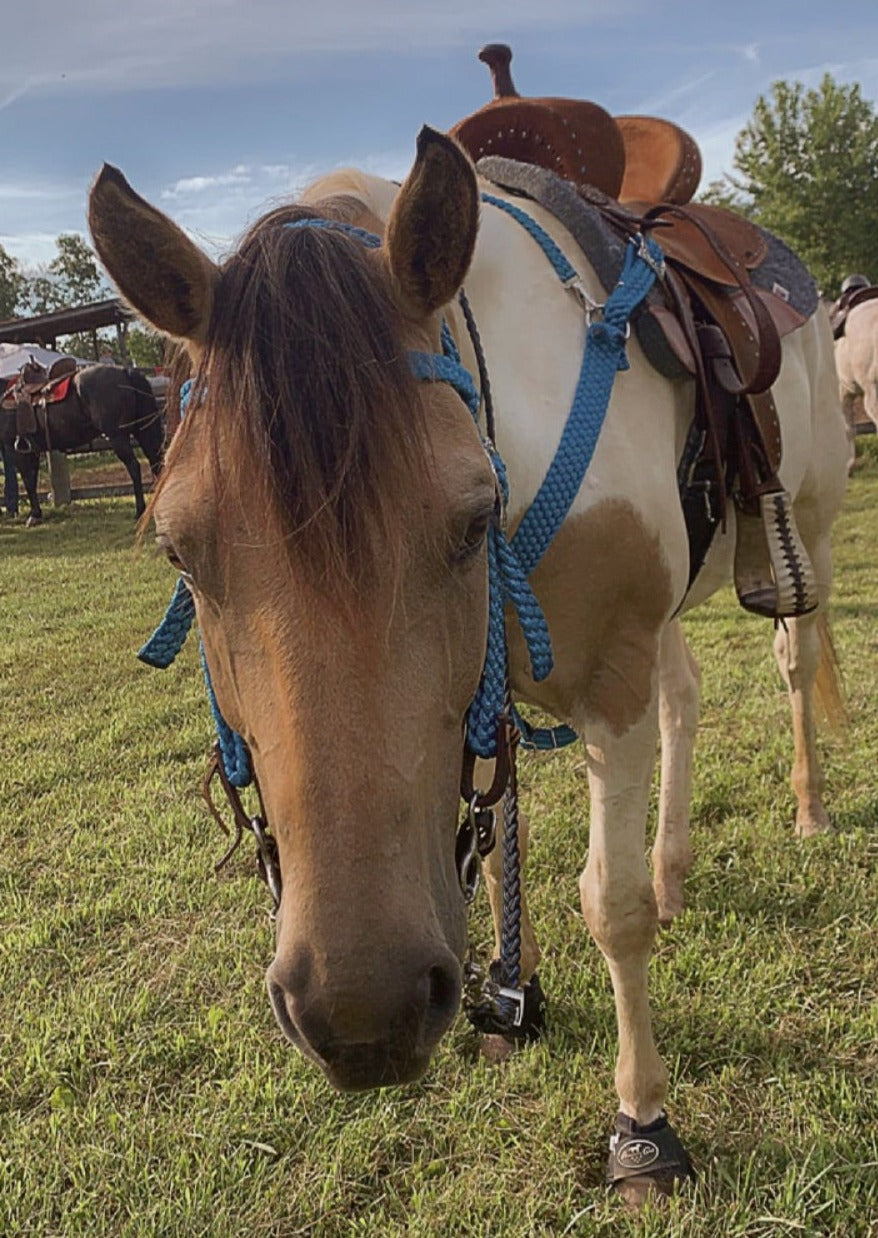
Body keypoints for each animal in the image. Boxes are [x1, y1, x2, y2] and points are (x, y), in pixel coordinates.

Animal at [0, 363, 164, 524]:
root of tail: (125, 371)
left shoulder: (18, 450)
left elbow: (28, 480)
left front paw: (34, 515)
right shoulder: (32, 450)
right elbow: (32, 479)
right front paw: (37, 513)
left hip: (117, 436)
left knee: (134, 467)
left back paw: (140, 511)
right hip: (142, 430)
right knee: (155, 461)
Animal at [85, 128, 847, 1198]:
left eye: (473, 520)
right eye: (179, 554)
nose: (363, 1014)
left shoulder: (610, 682)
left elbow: (607, 905)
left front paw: (644, 1124)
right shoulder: (494, 700)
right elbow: (496, 861)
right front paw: (512, 998)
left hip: (805, 535)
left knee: (793, 657)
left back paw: (810, 807)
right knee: (688, 700)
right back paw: (674, 870)